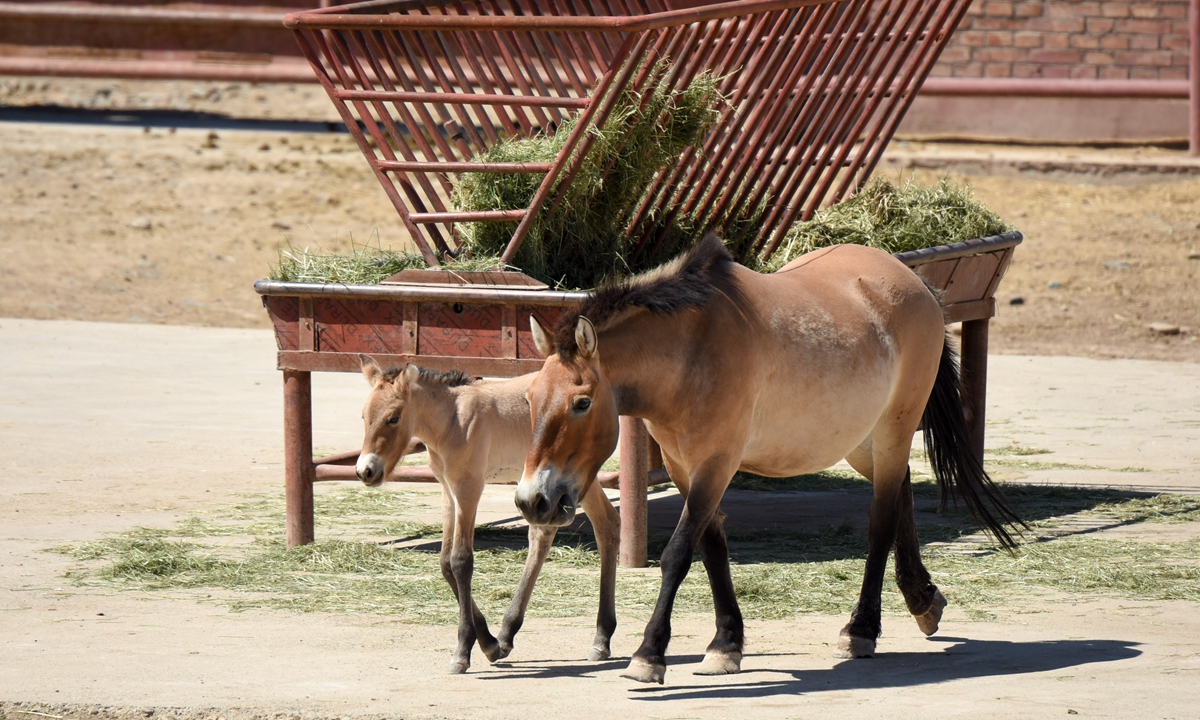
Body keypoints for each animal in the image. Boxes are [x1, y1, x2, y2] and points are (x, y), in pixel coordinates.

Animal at [355, 355, 620, 674]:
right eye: (363, 416)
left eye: (393, 417)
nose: (365, 471)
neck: (453, 421)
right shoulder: (447, 491)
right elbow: (445, 563)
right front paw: (489, 643)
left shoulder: (469, 487)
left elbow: (461, 561)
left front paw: (462, 651)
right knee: (588, 527)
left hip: (575, 478)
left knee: (597, 525)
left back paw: (597, 638)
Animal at [515, 234, 1022, 684]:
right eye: (530, 398)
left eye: (581, 403)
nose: (532, 501)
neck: (691, 352)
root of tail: (915, 283)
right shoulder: (684, 466)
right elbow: (713, 547)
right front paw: (726, 645)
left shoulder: (717, 463)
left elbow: (679, 552)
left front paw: (649, 655)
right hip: (862, 441)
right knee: (902, 493)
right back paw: (922, 601)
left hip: (894, 429)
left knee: (881, 519)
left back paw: (861, 629)